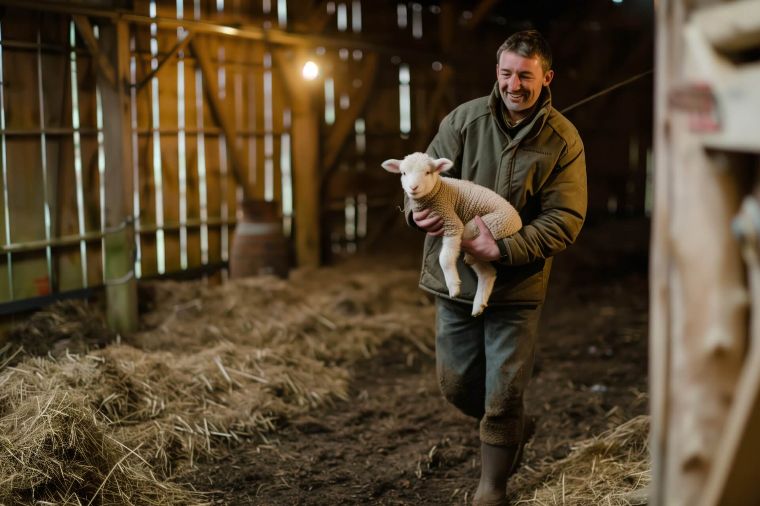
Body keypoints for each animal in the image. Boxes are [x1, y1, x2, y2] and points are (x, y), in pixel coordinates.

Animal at [380, 151, 524, 316]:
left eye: (428, 172)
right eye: (403, 173)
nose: (413, 187)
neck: (437, 191)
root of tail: (517, 218)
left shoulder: (451, 221)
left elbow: (445, 258)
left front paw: (454, 287)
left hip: (489, 224)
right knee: (487, 272)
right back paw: (479, 304)